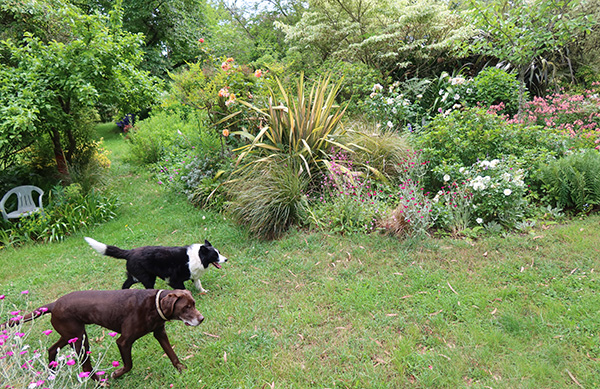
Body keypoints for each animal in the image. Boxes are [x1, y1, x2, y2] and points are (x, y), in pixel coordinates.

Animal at [1, 288, 204, 378]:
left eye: (193, 304)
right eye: (186, 307)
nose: (201, 319)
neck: (153, 305)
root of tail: (53, 304)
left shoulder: (160, 333)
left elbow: (173, 355)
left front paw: (183, 370)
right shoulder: (124, 341)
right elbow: (129, 364)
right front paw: (116, 374)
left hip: (70, 335)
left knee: (52, 349)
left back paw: (52, 371)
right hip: (80, 339)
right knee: (85, 367)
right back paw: (100, 381)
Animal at [87, 235, 230, 292]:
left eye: (219, 252)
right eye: (215, 255)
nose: (226, 259)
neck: (198, 257)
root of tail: (130, 252)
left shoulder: (194, 276)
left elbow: (198, 285)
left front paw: (203, 291)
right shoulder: (174, 280)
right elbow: (183, 289)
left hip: (136, 277)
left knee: (124, 286)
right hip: (147, 278)